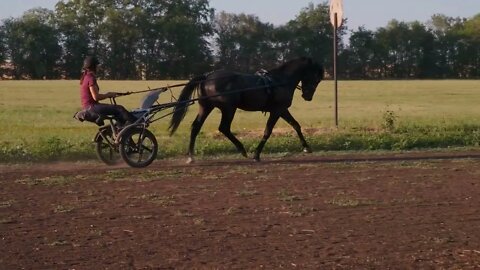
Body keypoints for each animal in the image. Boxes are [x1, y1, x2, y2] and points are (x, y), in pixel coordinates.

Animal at [168, 57, 322, 162]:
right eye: (316, 78)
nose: (308, 96)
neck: (279, 81)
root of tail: (207, 76)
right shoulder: (277, 110)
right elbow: (267, 131)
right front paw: (256, 154)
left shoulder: (282, 110)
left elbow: (296, 125)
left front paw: (306, 147)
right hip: (229, 108)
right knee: (224, 128)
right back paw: (242, 149)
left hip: (206, 107)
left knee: (196, 127)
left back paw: (191, 156)